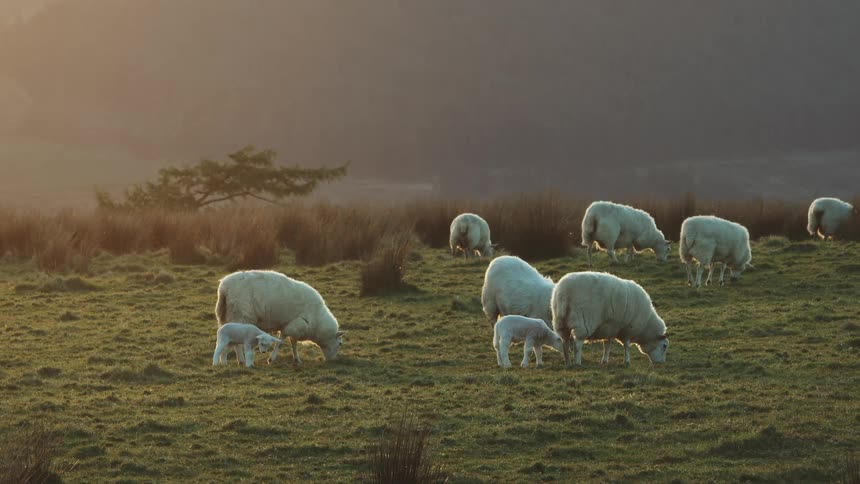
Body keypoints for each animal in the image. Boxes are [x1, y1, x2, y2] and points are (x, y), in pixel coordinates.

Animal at [215, 270, 347, 364]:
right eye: (340, 344)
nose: (332, 361)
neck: (317, 322)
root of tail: (224, 288)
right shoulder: (293, 325)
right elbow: (281, 343)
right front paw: (271, 359)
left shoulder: (292, 325)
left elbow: (293, 343)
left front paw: (296, 359)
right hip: (240, 316)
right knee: (237, 343)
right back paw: (241, 360)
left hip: (228, 316)